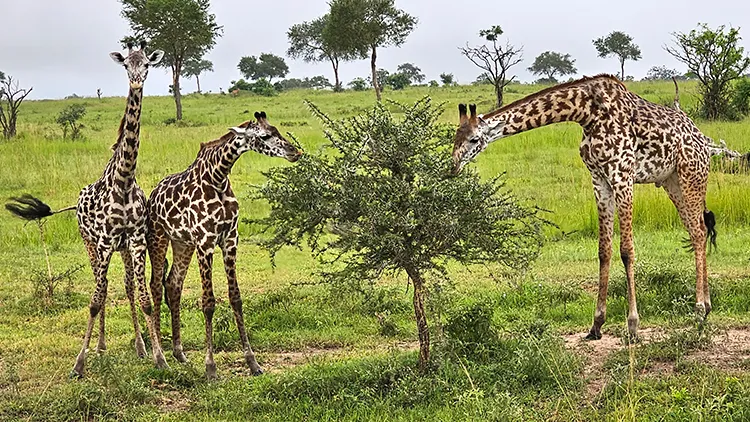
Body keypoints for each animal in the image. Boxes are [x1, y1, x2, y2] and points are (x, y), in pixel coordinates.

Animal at [5, 42, 168, 377]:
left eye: (147, 64)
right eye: (126, 65)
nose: (136, 81)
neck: (123, 182)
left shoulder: (135, 240)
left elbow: (144, 299)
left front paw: (159, 356)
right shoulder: (104, 242)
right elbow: (95, 300)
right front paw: (79, 363)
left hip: (120, 249)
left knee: (125, 287)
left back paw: (138, 347)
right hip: (89, 243)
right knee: (101, 288)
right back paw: (101, 346)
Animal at [146, 112, 302, 379]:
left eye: (277, 130)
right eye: (264, 136)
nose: (294, 152)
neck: (217, 177)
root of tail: (152, 195)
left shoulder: (230, 240)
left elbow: (236, 298)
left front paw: (253, 363)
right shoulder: (205, 241)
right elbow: (208, 303)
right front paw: (210, 368)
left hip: (182, 243)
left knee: (173, 284)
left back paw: (179, 354)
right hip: (159, 238)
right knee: (156, 286)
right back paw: (160, 358)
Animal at [451, 74, 716, 341]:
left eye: (474, 139)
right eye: (454, 137)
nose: (453, 167)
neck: (587, 113)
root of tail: (704, 140)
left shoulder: (622, 176)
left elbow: (627, 250)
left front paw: (632, 325)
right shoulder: (599, 178)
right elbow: (604, 250)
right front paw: (596, 324)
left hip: (691, 175)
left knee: (698, 231)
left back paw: (699, 309)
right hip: (671, 181)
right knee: (698, 230)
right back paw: (706, 307)